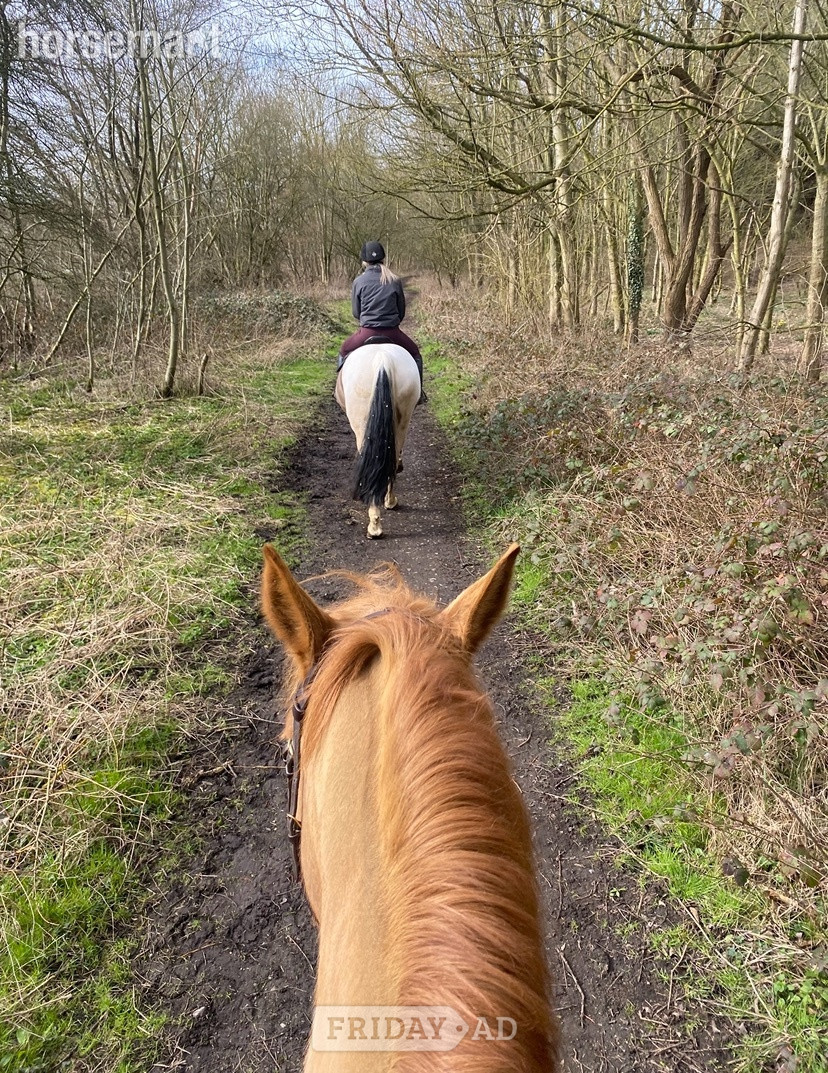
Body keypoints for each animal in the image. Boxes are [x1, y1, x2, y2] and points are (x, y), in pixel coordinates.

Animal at [335, 342, 420, 538]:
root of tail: (382, 361)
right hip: (403, 417)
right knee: (391, 459)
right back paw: (387, 505)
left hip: (362, 423)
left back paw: (375, 524)